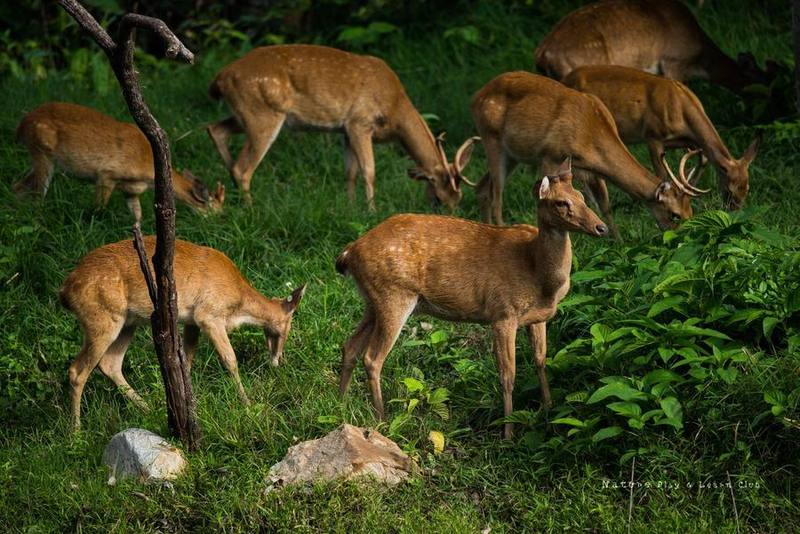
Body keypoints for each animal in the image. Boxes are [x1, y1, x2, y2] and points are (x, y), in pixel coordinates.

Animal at [60, 236, 306, 430]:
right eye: (286, 327)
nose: (278, 361)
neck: (239, 303)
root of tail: (64, 292)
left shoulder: (191, 322)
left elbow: (186, 362)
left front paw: (188, 406)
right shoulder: (209, 315)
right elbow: (230, 359)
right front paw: (247, 404)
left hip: (127, 323)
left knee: (110, 364)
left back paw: (148, 408)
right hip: (101, 322)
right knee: (77, 371)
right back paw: (76, 431)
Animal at [207, 44, 478, 209]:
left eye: (459, 196)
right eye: (439, 198)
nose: (450, 213)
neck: (395, 109)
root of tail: (219, 78)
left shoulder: (345, 132)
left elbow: (350, 172)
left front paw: (350, 206)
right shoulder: (359, 122)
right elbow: (369, 170)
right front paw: (371, 210)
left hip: (245, 113)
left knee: (215, 129)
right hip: (263, 113)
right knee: (243, 167)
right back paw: (250, 208)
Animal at [336, 158, 608, 439]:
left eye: (581, 196)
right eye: (561, 203)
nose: (602, 227)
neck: (537, 271)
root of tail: (349, 252)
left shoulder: (538, 319)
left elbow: (541, 362)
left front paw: (548, 410)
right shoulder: (502, 313)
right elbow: (508, 375)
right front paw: (508, 433)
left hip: (372, 301)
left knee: (350, 347)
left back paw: (340, 406)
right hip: (395, 295)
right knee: (372, 358)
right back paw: (382, 421)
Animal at [471, 71, 705, 236]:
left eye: (691, 211)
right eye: (675, 215)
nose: (678, 239)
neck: (591, 131)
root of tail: (476, 96)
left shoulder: (591, 169)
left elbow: (605, 204)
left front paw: (617, 242)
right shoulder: (550, 156)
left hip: (513, 155)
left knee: (483, 188)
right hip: (492, 140)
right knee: (496, 197)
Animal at [562, 65, 761, 210]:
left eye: (747, 188)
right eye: (729, 190)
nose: (734, 210)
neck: (681, 108)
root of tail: (565, 79)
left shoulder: (687, 141)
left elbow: (702, 160)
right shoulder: (653, 136)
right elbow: (662, 173)